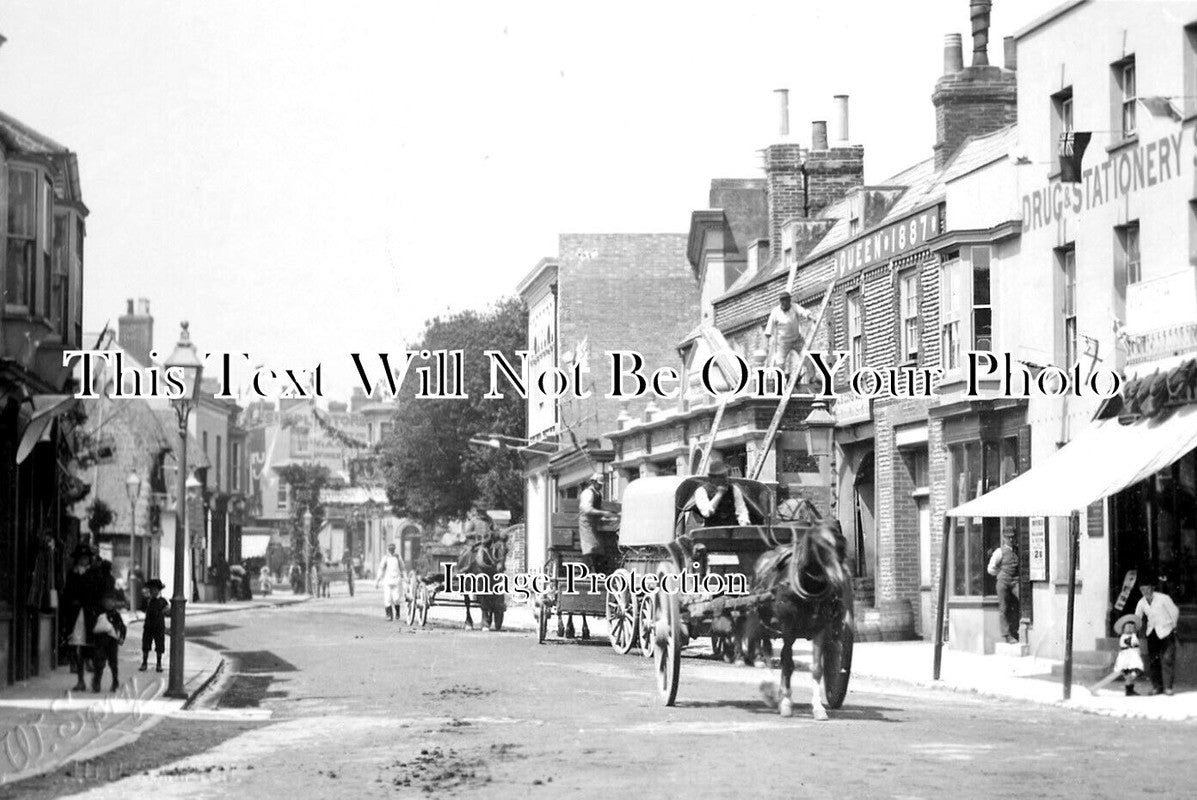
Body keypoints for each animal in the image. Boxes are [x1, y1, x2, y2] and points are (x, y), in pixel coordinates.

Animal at [746, 522, 852, 723]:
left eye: (841, 547)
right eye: (820, 548)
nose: (839, 580)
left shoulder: (821, 629)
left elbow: (817, 668)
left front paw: (818, 708)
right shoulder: (788, 629)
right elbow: (787, 663)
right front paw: (786, 703)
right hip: (762, 624)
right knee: (766, 654)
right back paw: (774, 694)